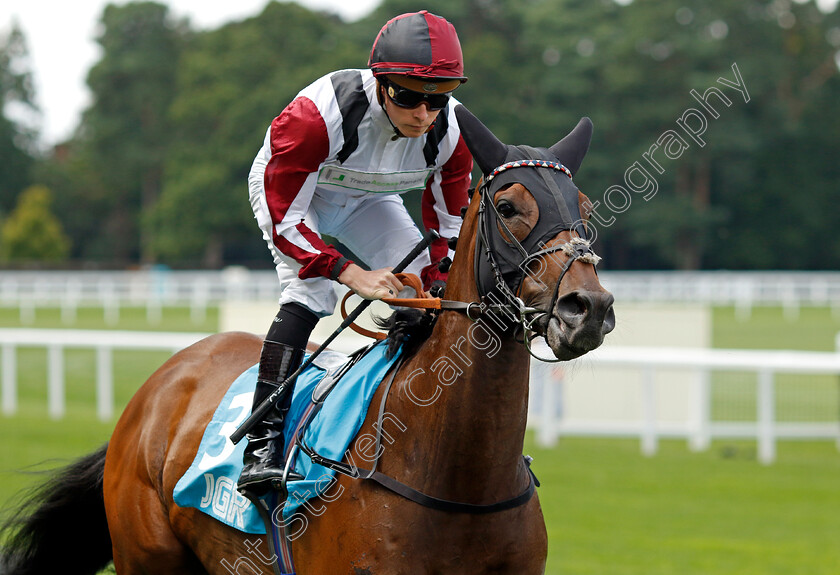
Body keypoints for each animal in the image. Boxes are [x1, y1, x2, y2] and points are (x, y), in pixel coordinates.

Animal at [1, 104, 616, 575]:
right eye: (509, 206)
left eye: (584, 210)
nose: (588, 308)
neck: (459, 485)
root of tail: (156, 386)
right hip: (146, 557)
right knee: (300, 293)